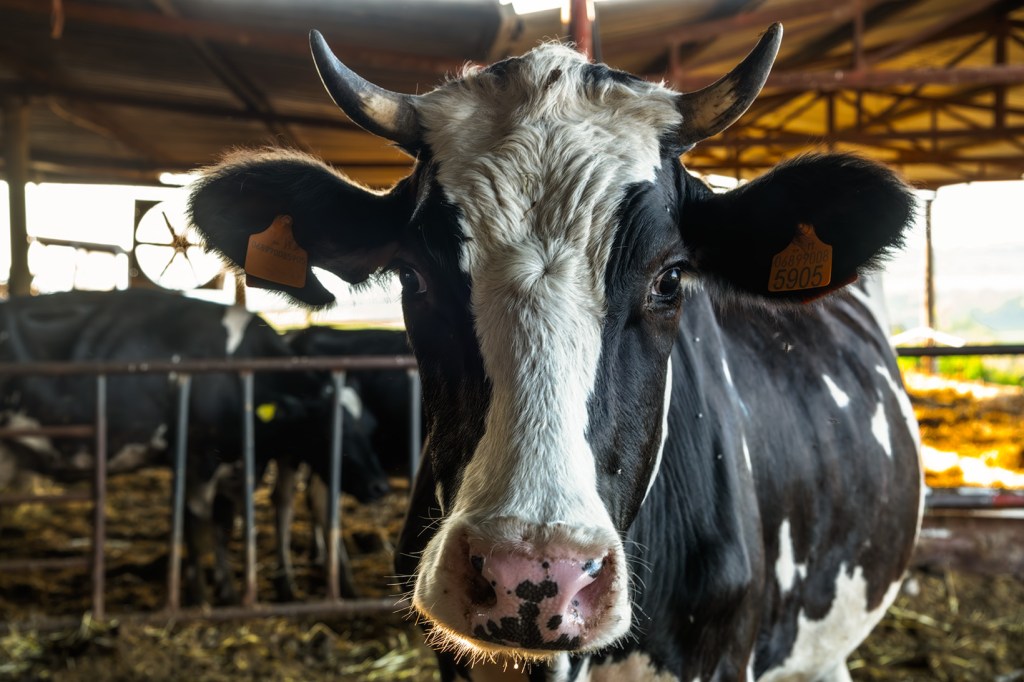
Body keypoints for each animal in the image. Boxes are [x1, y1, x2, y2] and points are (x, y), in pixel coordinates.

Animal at [0, 289, 388, 604]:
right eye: (330, 429)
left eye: (370, 426)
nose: (380, 487)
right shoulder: (198, 458)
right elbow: (197, 528)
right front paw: (199, 596)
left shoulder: (235, 464)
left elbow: (223, 526)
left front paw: (227, 592)